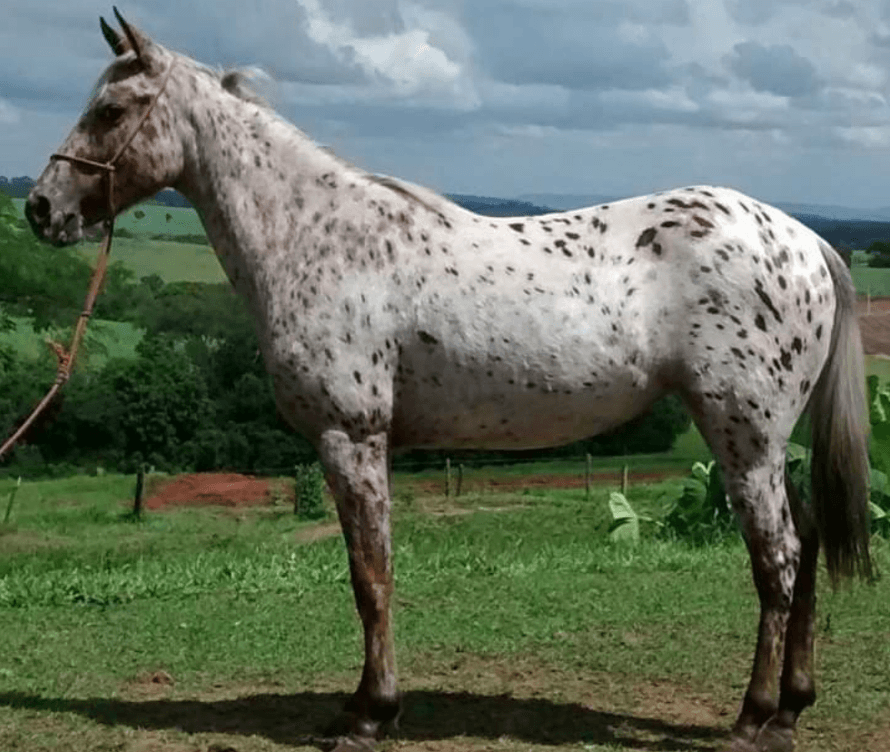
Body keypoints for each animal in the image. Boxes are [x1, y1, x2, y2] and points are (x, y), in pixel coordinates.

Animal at [25, 11, 871, 752]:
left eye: (110, 109)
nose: (40, 208)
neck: (318, 239)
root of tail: (807, 241)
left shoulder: (352, 437)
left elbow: (370, 576)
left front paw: (369, 715)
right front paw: (366, 706)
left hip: (742, 435)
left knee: (778, 560)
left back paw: (753, 719)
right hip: (758, 443)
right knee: (804, 543)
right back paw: (792, 708)